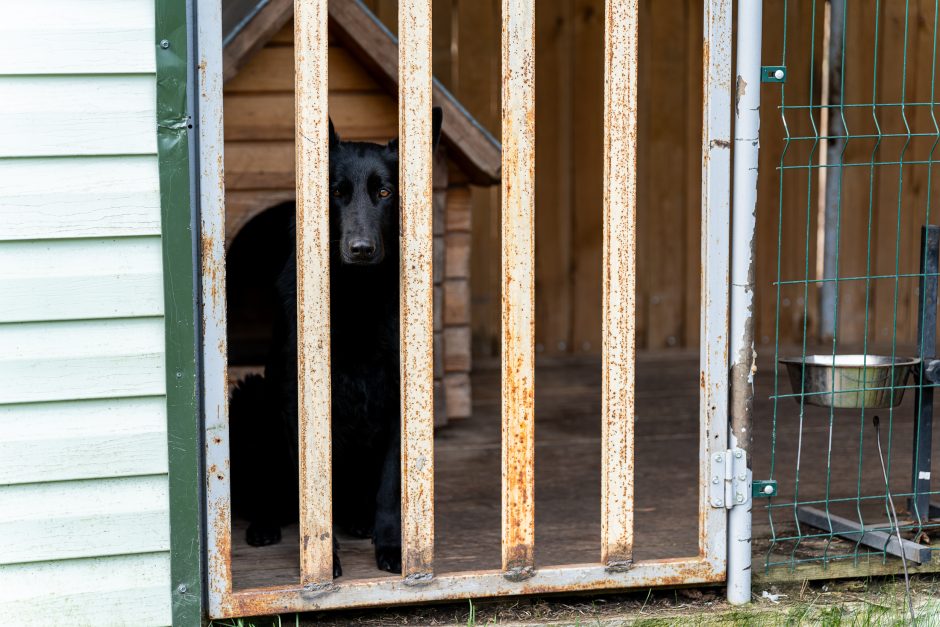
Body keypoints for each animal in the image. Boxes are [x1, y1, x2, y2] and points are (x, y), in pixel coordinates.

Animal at [230, 108, 444, 580]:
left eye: (384, 192)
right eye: (336, 193)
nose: (360, 249)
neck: (356, 297)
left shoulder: (399, 404)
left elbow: (390, 489)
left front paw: (392, 547)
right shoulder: (301, 408)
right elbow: (316, 498)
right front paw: (325, 563)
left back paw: (359, 520)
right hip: (251, 396)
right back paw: (265, 524)